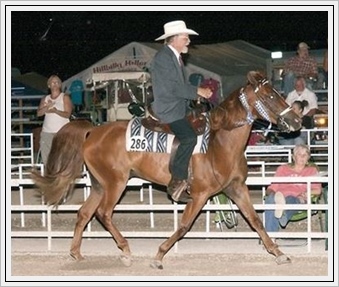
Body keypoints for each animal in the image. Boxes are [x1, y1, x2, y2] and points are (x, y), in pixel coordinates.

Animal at [32, 71, 302, 270]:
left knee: (84, 213)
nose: (297, 121)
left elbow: (255, 219)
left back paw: (76, 253)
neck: (219, 142)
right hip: (114, 183)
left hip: (99, 185)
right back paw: (126, 251)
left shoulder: (236, 188)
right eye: (270, 97)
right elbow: (184, 226)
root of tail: (92, 130)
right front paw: (159, 255)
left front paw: (278, 252)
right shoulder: (200, 195)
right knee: (103, 213)